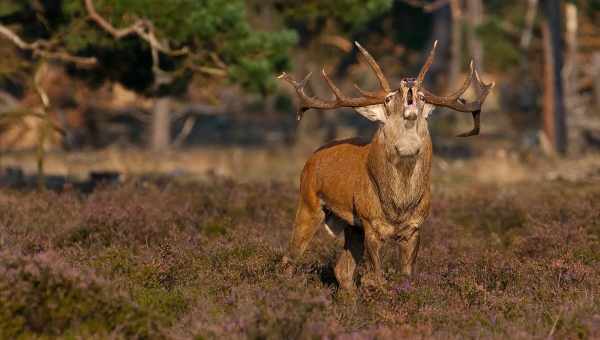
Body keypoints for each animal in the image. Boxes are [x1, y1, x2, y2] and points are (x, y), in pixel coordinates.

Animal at [278, 41, 494, 290]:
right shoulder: (371, 223)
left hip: (351, 226)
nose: (409, 80)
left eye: (422, 96)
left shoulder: (415, 227)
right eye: (389, 98)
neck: (398, 205)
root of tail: (310, 159)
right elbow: (376, 278)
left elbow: (406, 275)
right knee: (290, 257)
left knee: (342, 269)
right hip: (309, 203)